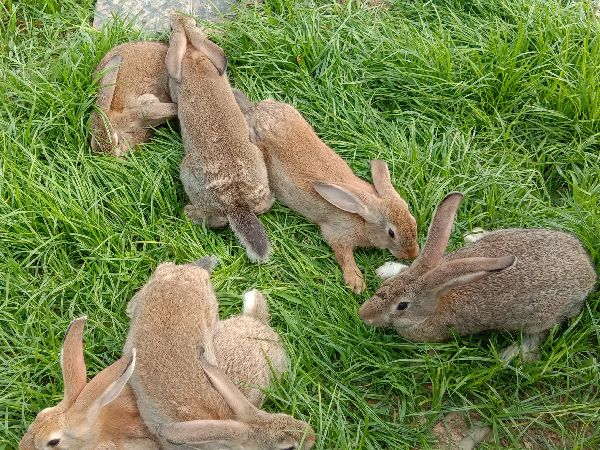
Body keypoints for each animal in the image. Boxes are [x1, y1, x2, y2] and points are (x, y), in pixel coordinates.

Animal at [233, 90, 418, 294]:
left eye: (413, 220)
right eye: (391, 233)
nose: (412, 254)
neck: (362, 215)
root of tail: (253, 110)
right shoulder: (337, 234)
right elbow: (343, 255)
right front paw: (356, 283)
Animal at [358, 192, 596, 360]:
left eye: (402, 306)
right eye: (388, 286)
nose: (364, 314)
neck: (436, 300)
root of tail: (589, 272)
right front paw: (385, 269)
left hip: (539, 318)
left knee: (539, 334)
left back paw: (512, 355)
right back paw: (474, 236)